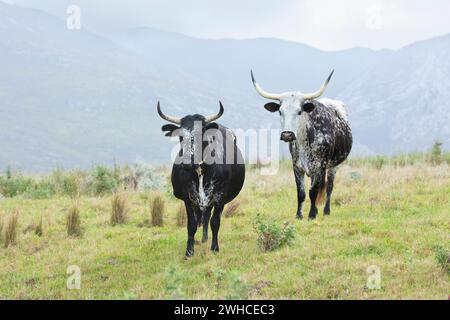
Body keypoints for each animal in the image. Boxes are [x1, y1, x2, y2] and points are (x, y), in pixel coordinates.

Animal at [251, 70, 354, 220]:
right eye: (280, 111)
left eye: (300, 111)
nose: (287, 134)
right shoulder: (296, 165)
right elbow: (301, 192)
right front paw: (299, 215)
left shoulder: (320, 165)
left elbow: (314, 191)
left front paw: (311, 215)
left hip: (334, 165)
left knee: (329, 187)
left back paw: (326, 211)